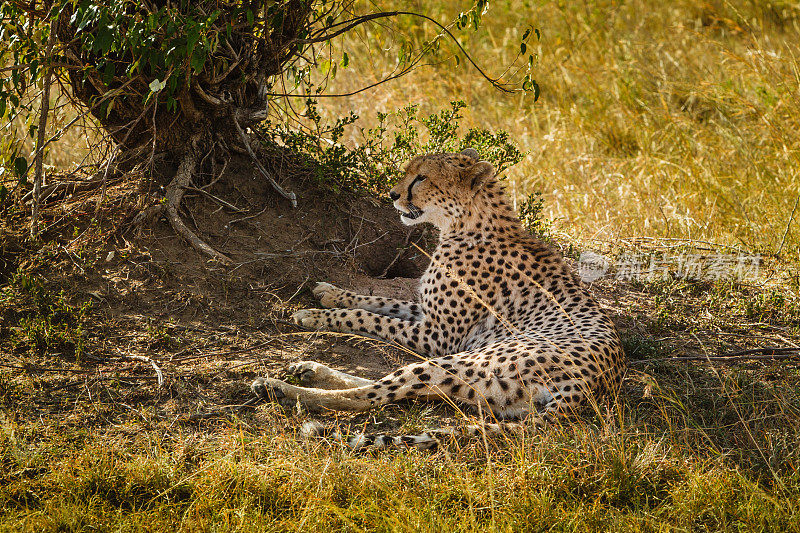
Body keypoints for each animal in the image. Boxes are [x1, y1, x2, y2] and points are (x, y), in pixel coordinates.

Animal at [253, 148, 628, 446]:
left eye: (421, 178)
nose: (392, 194)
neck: (468, 224)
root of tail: (595, 384)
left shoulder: (440, 337)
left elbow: (371, 317)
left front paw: (313, 316)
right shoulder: (426, 315)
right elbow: (379, 303)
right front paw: (330, 293)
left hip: (462, 361)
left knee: (372, 396)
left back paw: (281, 388)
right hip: (482, 389)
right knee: (394, 385)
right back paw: (309, 369)